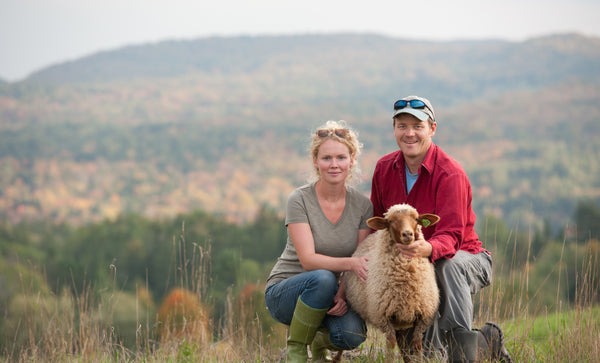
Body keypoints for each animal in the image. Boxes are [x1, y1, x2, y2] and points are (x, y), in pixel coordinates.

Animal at [344, 203, 438, 362]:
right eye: (390, 221)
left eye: (416, 219)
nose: (407, 234)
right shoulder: (384, 316)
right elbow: (390, 345)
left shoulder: (423, 316)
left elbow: (417, 344)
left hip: (404, 320)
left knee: (404, 346)